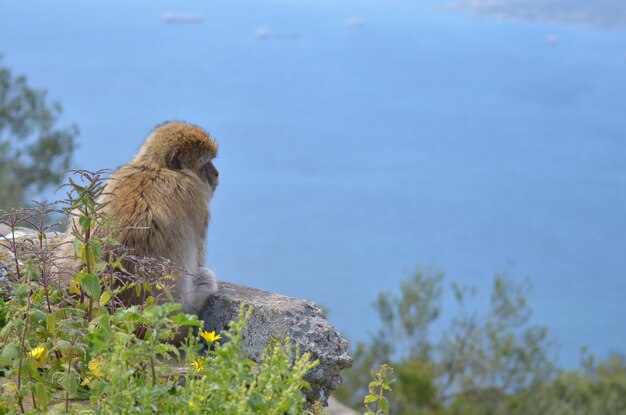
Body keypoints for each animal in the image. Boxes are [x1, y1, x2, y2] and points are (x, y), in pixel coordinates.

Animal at [58, 122, 219, 316]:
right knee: (207, 279)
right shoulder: (196, 201)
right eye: (206, 163)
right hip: (181, 307)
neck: (157, 168)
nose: (216, 174)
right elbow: (199, 257)